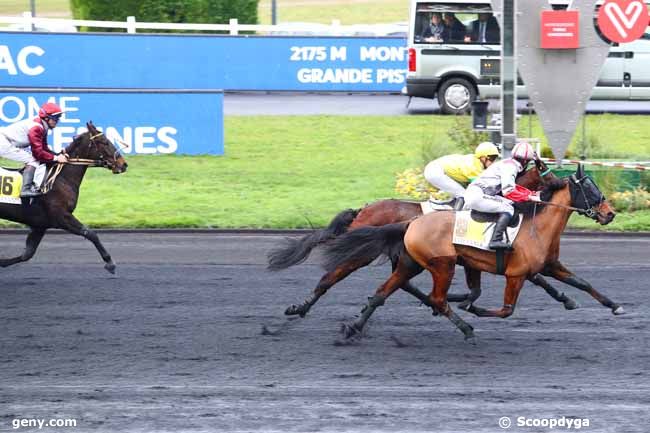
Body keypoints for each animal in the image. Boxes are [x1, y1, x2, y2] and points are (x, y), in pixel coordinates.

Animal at [0, 120, 128, 274]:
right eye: (104, 142)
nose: (123, 164)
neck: (60, 178)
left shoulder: (40, 225)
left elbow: (27, 254)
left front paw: (2, 262)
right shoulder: (61, 217)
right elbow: (90, 233)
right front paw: (109, 262)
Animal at [268, 159, 576, 318]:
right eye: (548, 172)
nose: (563, 183)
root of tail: (363, 209)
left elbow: (537, 276)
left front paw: (566, 298)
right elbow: (535, 277)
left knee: (401, 282)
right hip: (363, 253)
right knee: (332, 276)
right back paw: (300, 307)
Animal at [322, 164, 616, 340]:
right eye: (589, 187)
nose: (610, 213)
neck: (534, 226)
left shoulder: (545, 265)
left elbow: (580, 282)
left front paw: (609, 304)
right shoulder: (516, 273)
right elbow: (506, 306)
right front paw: (470, 308)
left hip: (410, 262)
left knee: (387, 291)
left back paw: (355, 326)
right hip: (435, 264)